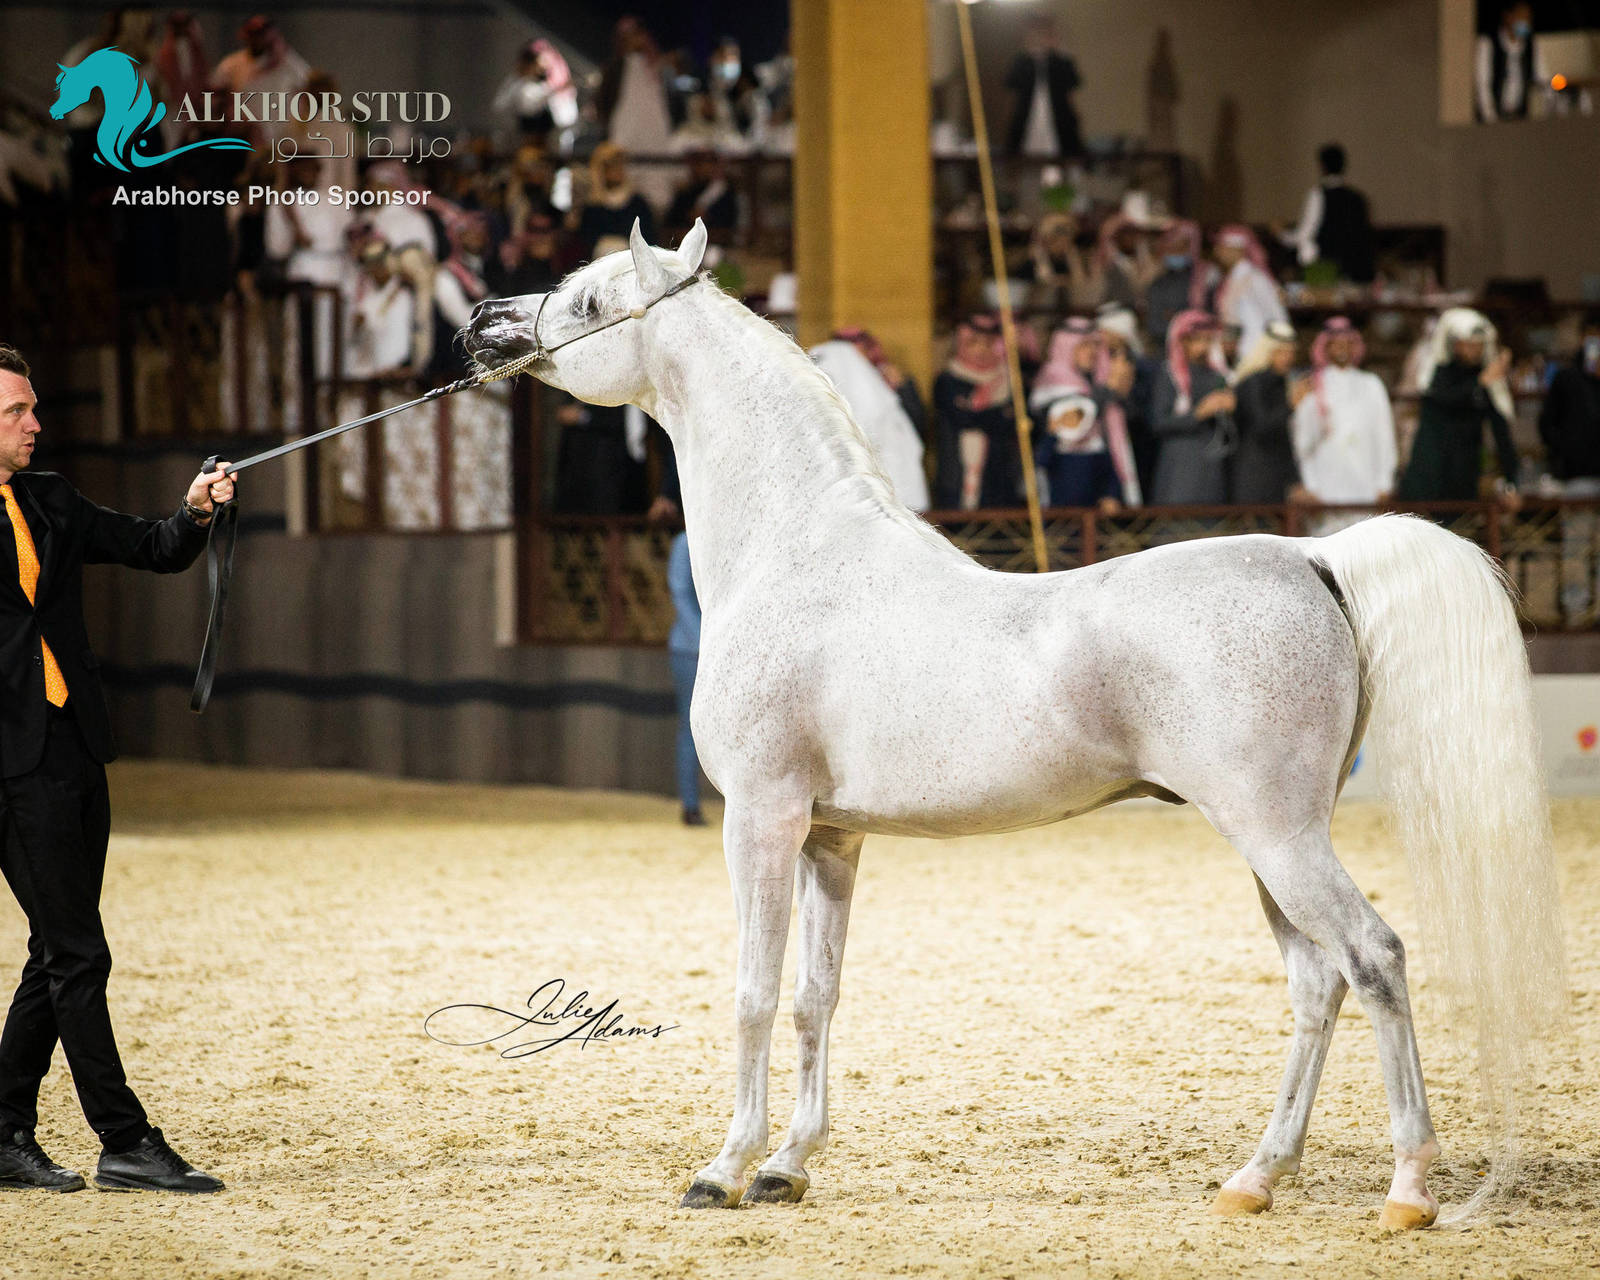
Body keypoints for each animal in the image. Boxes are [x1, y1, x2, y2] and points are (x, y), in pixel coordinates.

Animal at [463, 220, 1566, 1229]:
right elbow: (818, 996)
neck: (797, 554)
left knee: (1373, 957)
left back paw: (1410, 1186)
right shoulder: (831, 836)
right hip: (1272, 841)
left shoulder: (762, 819)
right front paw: (787, 1166)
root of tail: (1312, 556)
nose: (483, 321)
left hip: (1280, 834)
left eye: (591, 301)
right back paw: (1256, 1177)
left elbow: (753, 994)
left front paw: (725, 1168)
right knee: (1314, 983)